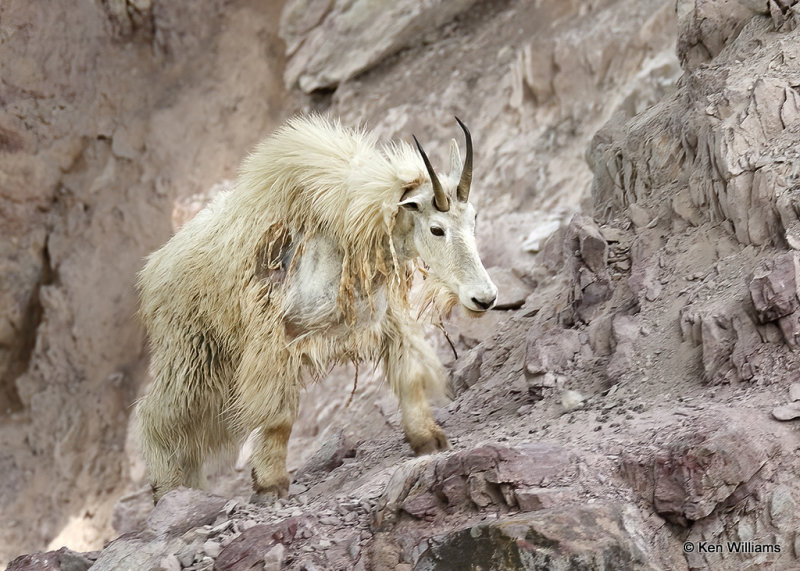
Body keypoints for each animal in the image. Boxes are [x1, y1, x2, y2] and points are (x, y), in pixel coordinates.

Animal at [138, 115, 500, 500]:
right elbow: (278, 417)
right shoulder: (274, 338)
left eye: (474, 218)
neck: (345, 229)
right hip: (191, 353)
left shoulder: (384, 318)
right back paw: (168, 488)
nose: (484, 298)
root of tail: (153, 269)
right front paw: (271, 484)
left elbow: (411, 375)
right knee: (157, 415)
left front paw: (428, 439)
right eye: (436, 229)